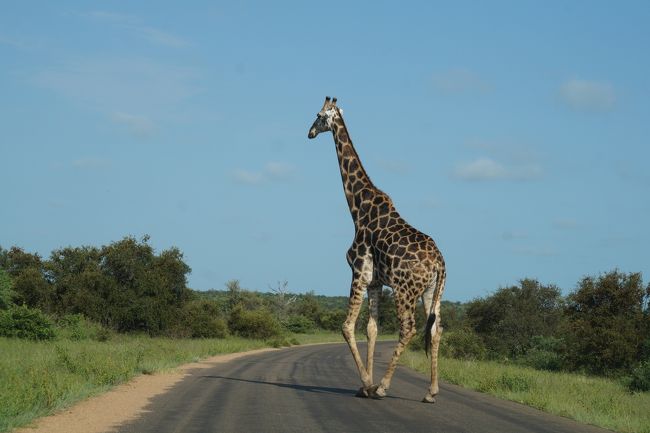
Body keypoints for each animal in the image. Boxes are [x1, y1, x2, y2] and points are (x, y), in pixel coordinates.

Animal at [306, 95, 442, 402]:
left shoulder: (358, 271)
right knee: (436, 330)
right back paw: (431, 391)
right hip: (432, 292)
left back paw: (383, 386)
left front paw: (368, 384)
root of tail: (440, 263)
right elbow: (372, 329)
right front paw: (363, 384)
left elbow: (347, 326)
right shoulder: (376, 282)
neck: (358, 208)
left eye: (319, 115)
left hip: (405, 290)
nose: (309, 133)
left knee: (409, 328)